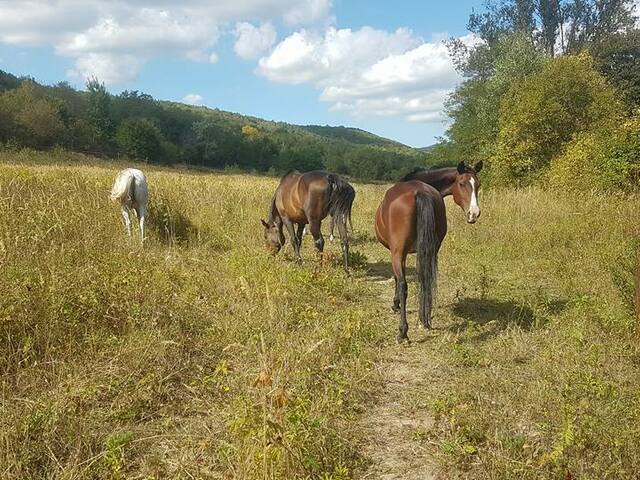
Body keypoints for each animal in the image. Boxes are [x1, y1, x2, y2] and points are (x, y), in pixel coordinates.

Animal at [376, 161, 480, 342]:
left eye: (478, 185)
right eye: (461, 183)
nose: (474, 213)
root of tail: (420, 192)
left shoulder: (398, 253)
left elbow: (397, 279)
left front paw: (395, 304)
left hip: (399, 253)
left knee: (404, 285)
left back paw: (403, 332)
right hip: (431, 250)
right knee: (426, 279)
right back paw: (424, 319)